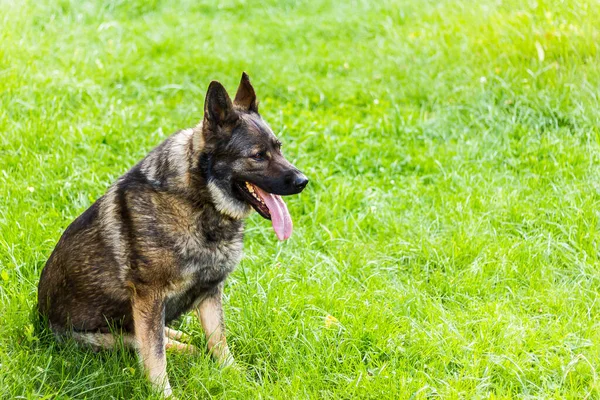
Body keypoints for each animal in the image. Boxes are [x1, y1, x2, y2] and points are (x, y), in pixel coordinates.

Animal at [36, 73, 310, 396]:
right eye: (257, 156)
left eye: (279, 148)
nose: (303, 181)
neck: (199, 198)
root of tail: (40, 318)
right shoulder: (149, 297)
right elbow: (155, 357)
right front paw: (164, 394)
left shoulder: (210, 291)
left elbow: (219, 342)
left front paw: (238, 379)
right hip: (106, 335)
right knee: (145, 342)